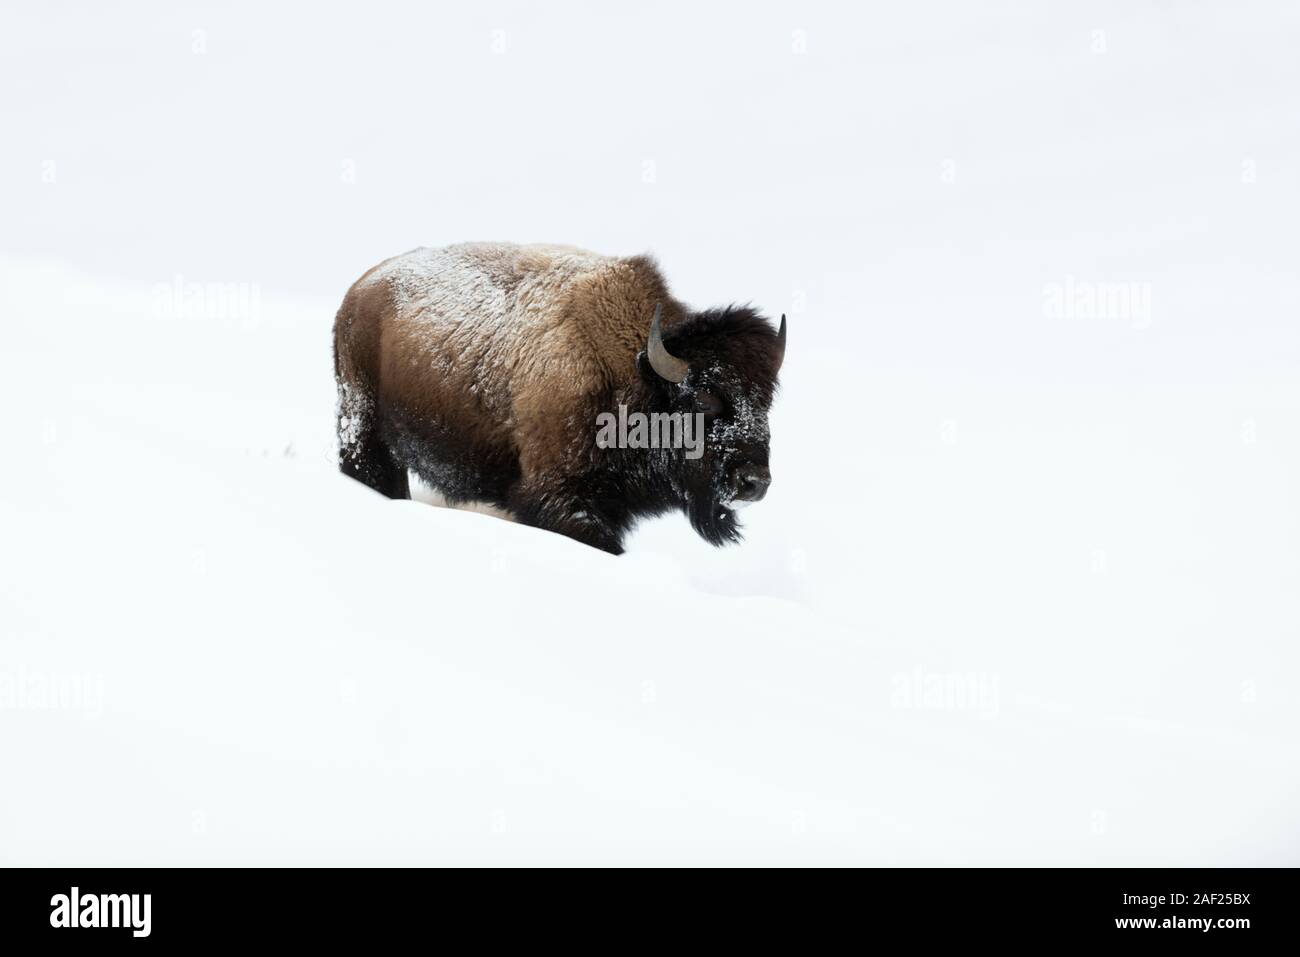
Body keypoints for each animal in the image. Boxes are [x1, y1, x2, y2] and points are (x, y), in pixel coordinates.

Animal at [332, 243, 780, 553]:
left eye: (766, 403)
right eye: (705, 397)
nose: (754, 483)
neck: (634, 370)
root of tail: (358, 291)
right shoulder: (557, 497)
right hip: (364, 434)